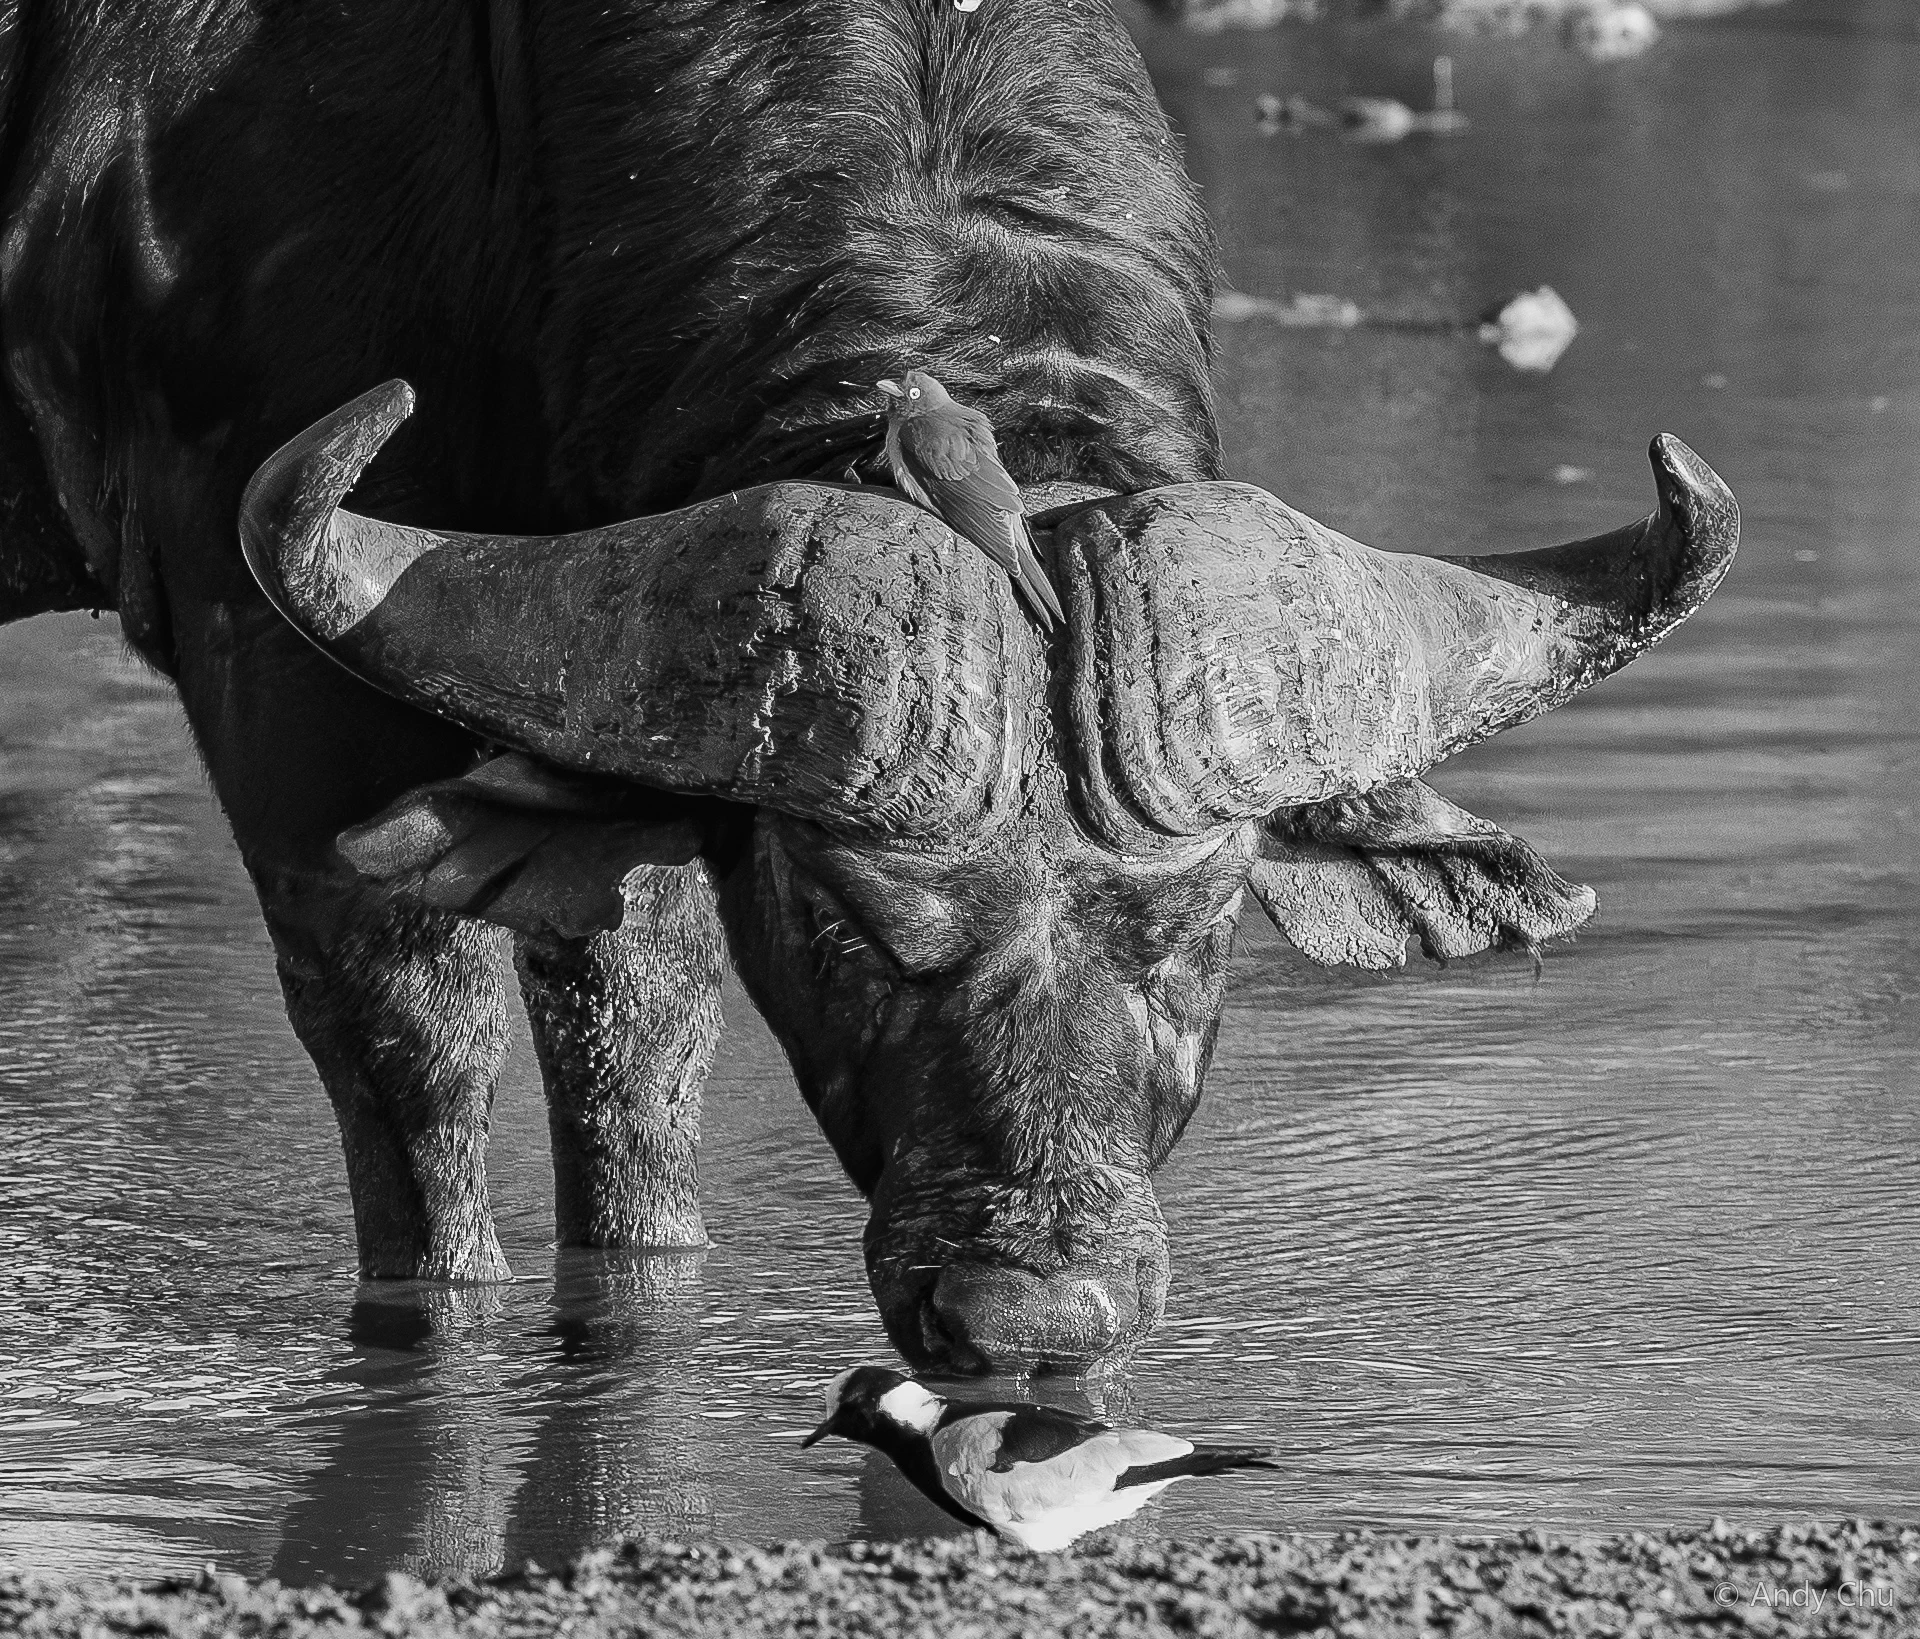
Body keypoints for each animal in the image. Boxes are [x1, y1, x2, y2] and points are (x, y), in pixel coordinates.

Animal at [0, 0, 1734, 1374]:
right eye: (856, 924)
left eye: (1197, 925)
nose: (1032, 1312)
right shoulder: (263, 660)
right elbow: (420, 1054)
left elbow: (635, 1038)